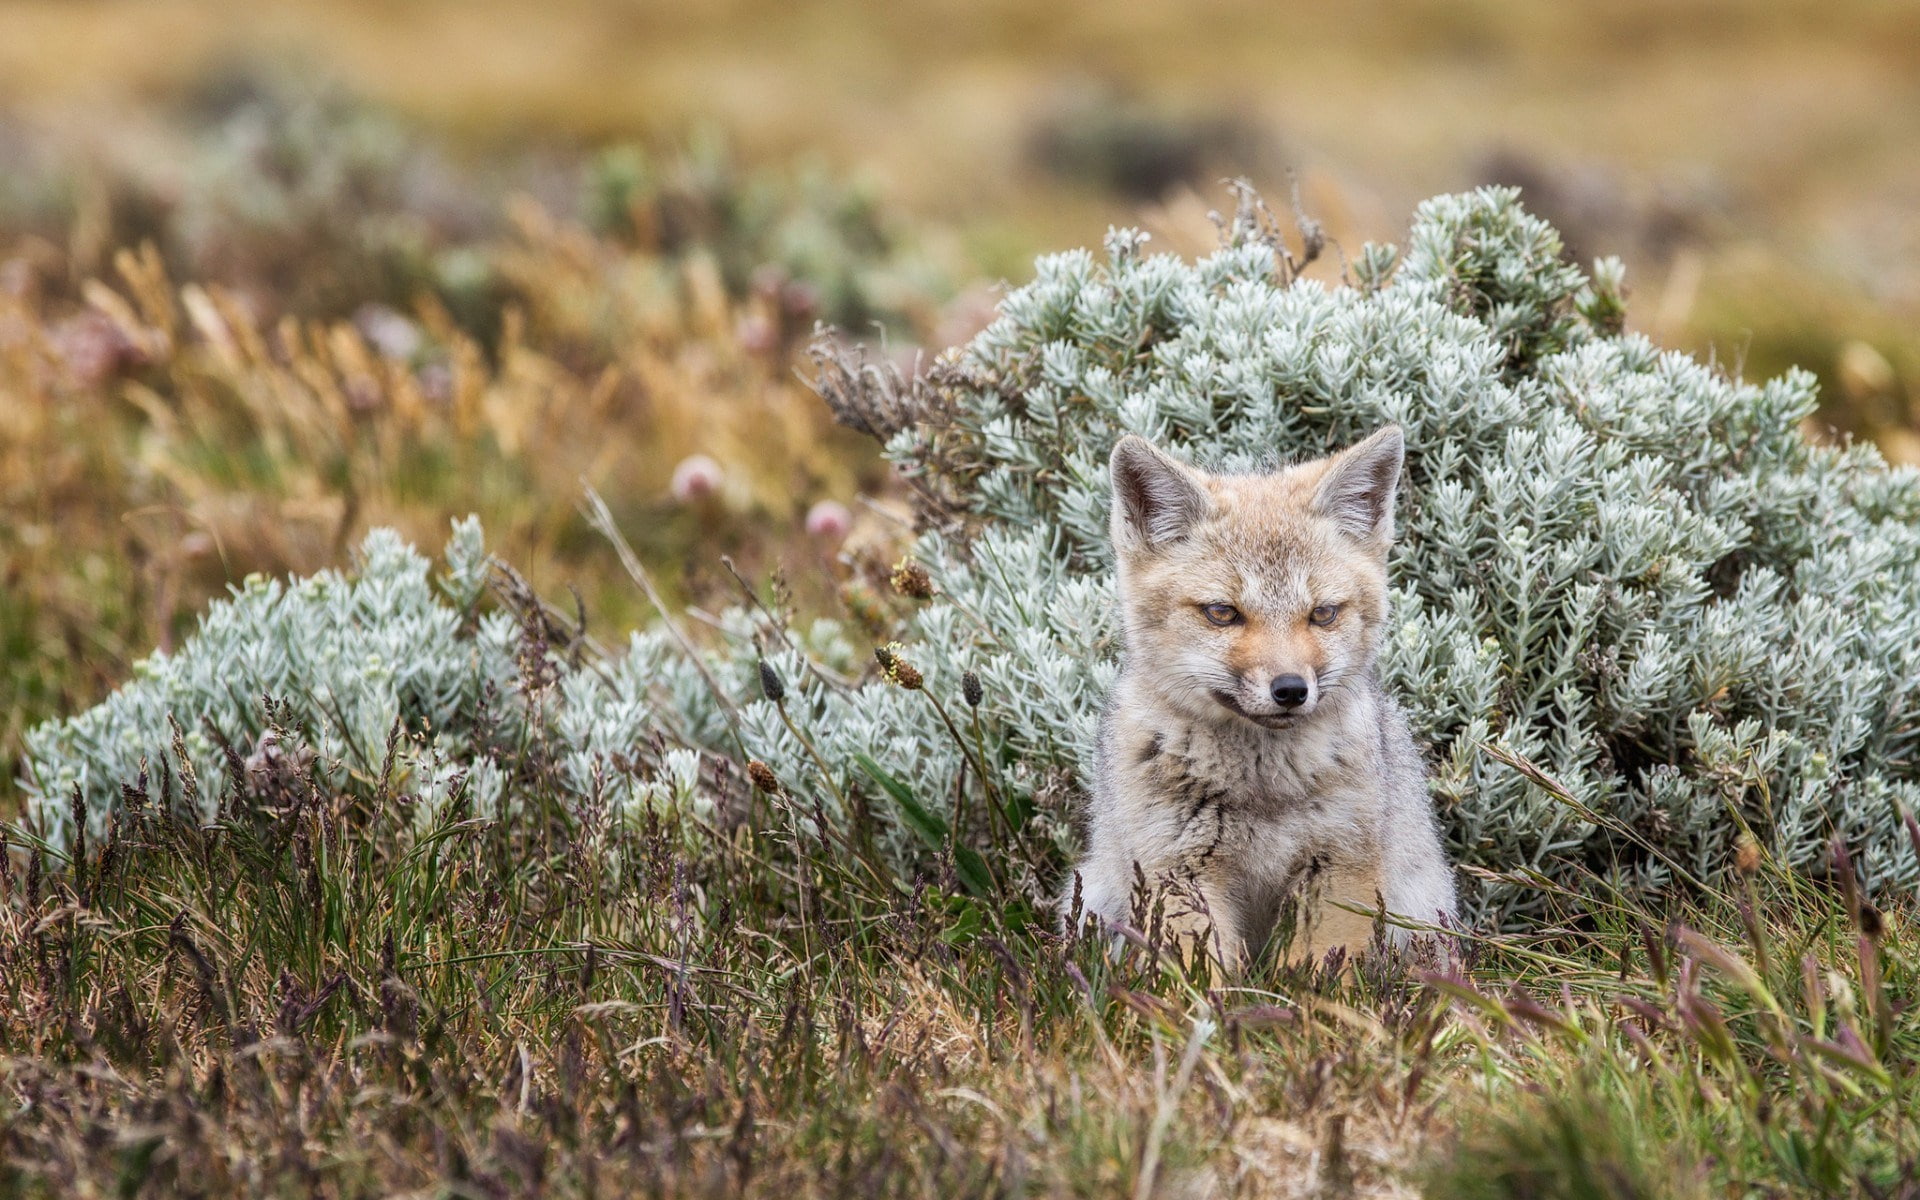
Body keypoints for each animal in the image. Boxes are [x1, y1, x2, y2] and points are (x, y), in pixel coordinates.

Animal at [1070, 426, 1457, 970]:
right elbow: (1202, 978)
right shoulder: (1179, 870)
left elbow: (1320, 977)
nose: (1291, 689)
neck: (1263, 790)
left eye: (1323, 614)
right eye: (1222, 613)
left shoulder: (1338, 870)